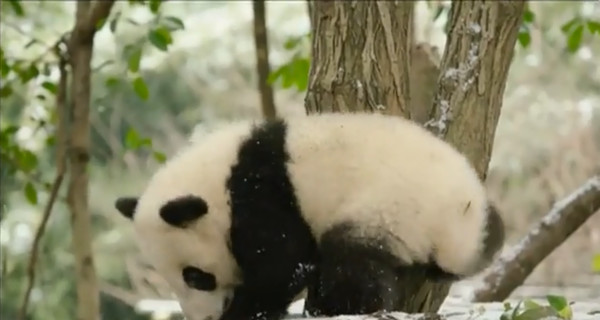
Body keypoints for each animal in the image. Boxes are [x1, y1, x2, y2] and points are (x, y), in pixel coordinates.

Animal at [113, 112, 506, 320]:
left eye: (196, 277)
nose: (203, 317)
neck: (217, 181)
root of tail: (461, 226)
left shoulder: (258, 198)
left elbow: (282, 265)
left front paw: (244, 311)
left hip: (387, 210)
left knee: (352, 265)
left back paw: (338, 306)